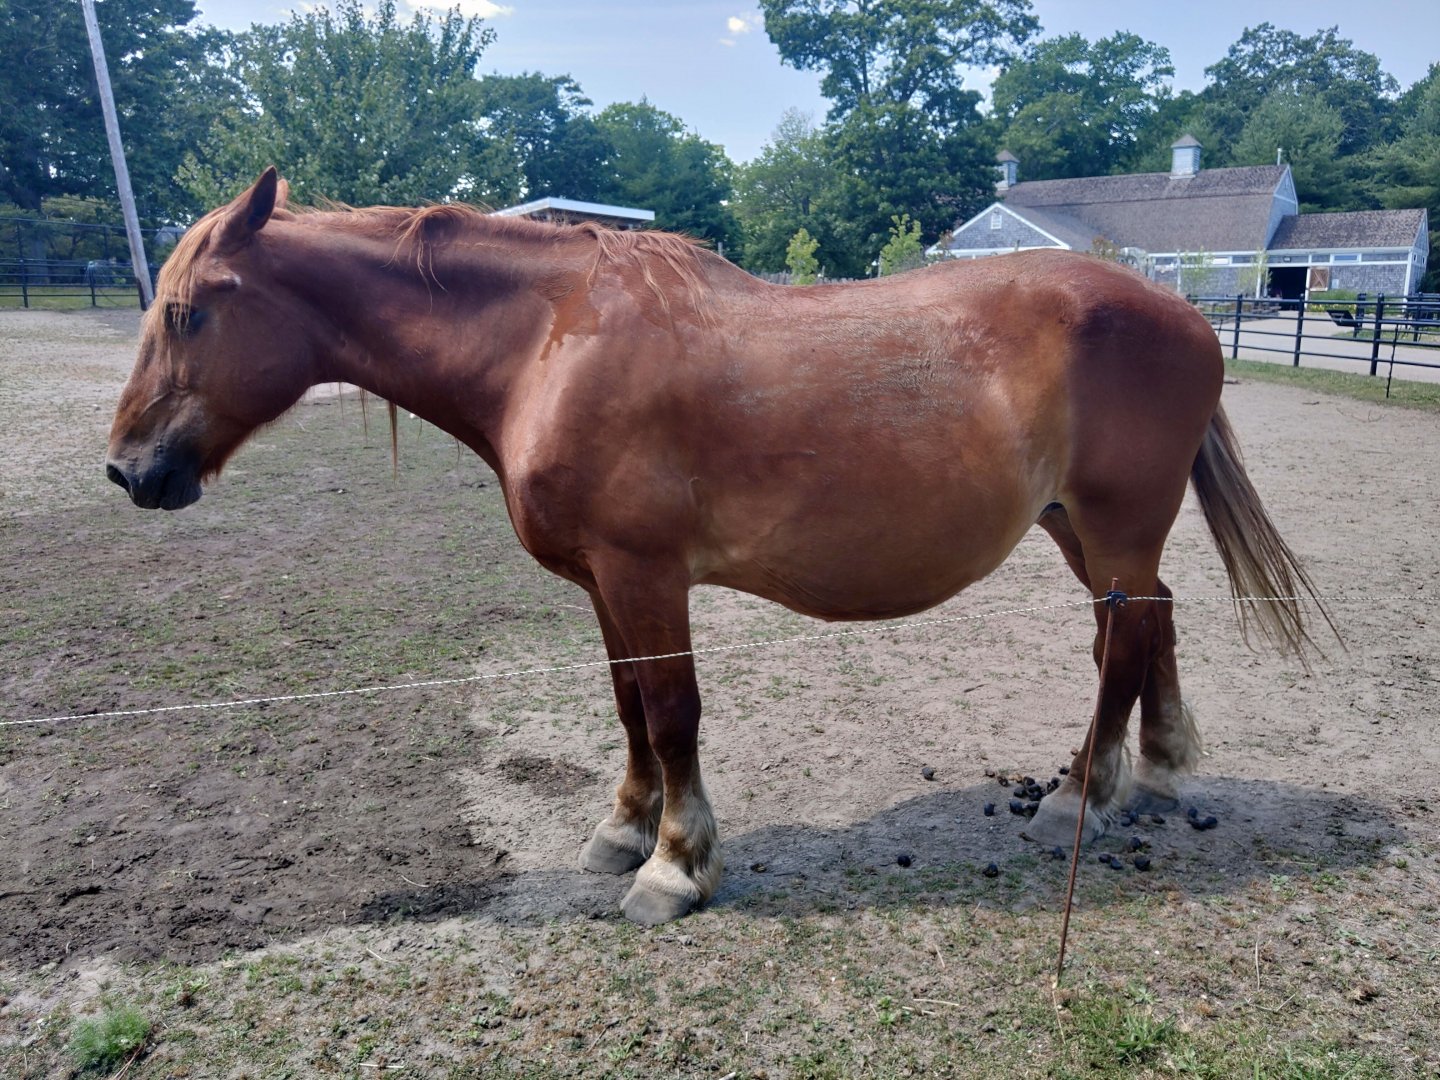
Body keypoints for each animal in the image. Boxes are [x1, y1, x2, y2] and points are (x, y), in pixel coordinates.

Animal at [106, 169, 1327, 925]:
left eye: (190, 310)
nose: (129, 470)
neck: (550, 344)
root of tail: (1183, 313)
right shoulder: (604, 584)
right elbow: (627, 706)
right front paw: (622, 827)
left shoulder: (646, 575)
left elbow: (674, 710)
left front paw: (675, 866)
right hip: (1083, 531)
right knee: (1150, 626)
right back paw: (1154, 770)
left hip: (1112, 527)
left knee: (1121, 647)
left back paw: (1080, 794)